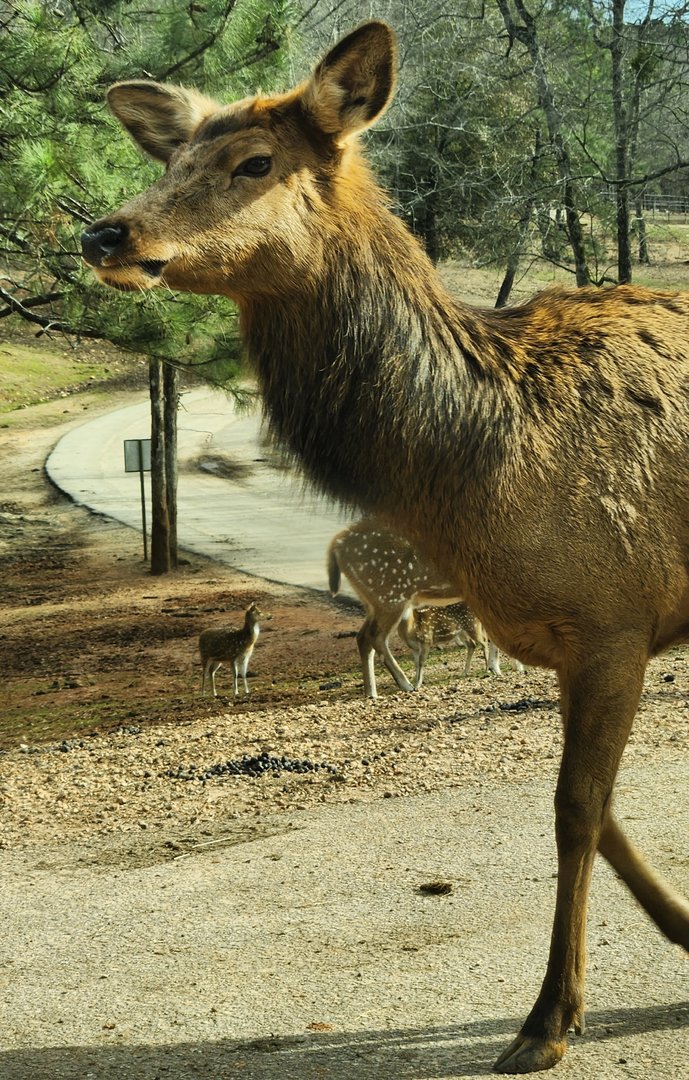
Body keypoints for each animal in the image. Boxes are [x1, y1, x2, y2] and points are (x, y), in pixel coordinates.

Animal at [327, 518, 460, 698]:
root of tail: (336, 544)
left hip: (373, 600)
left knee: (362, 637)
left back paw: (372, 692)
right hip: (391, 596)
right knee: (374, 636)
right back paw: (405, 685)